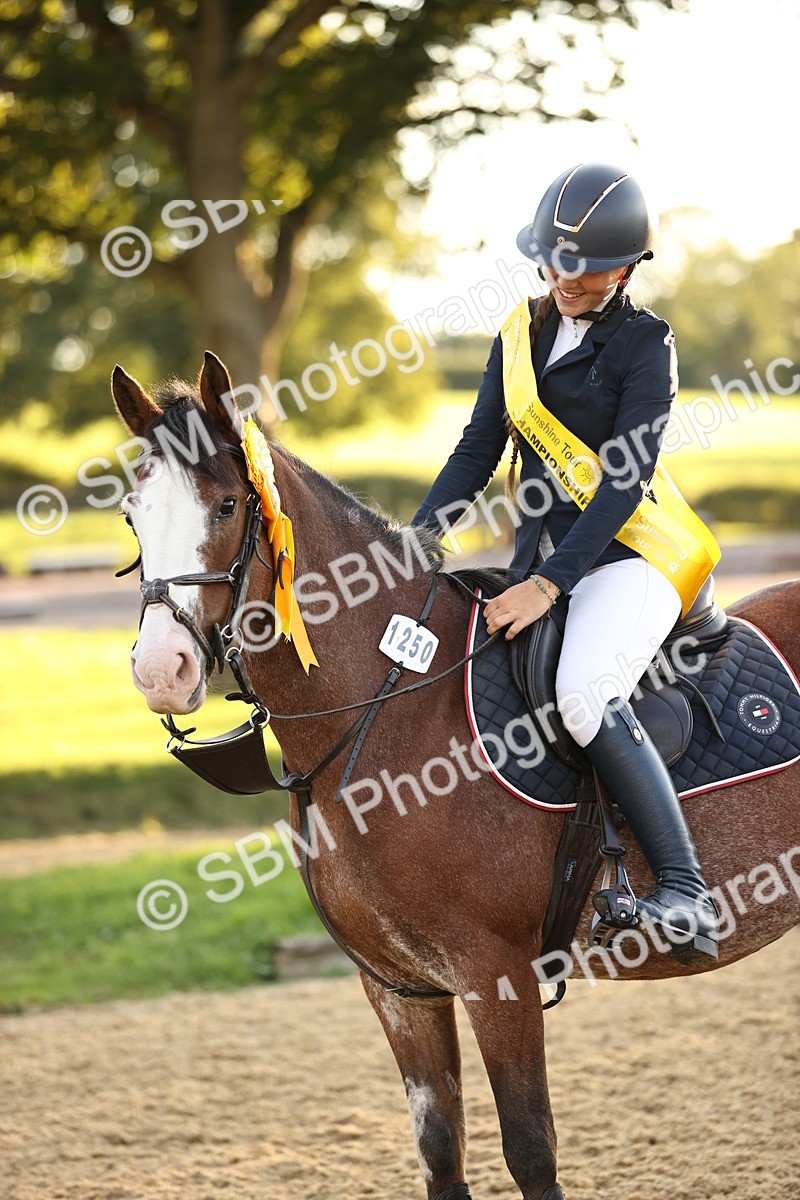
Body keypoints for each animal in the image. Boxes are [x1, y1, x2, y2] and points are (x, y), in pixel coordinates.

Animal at [111, 352, 800, 1200]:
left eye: (229, 505)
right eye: (133, 515)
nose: (159, 671)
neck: (390, 704)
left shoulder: (495, 975)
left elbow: (530, 1148)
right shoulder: (398, 987)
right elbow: (440, 1148)